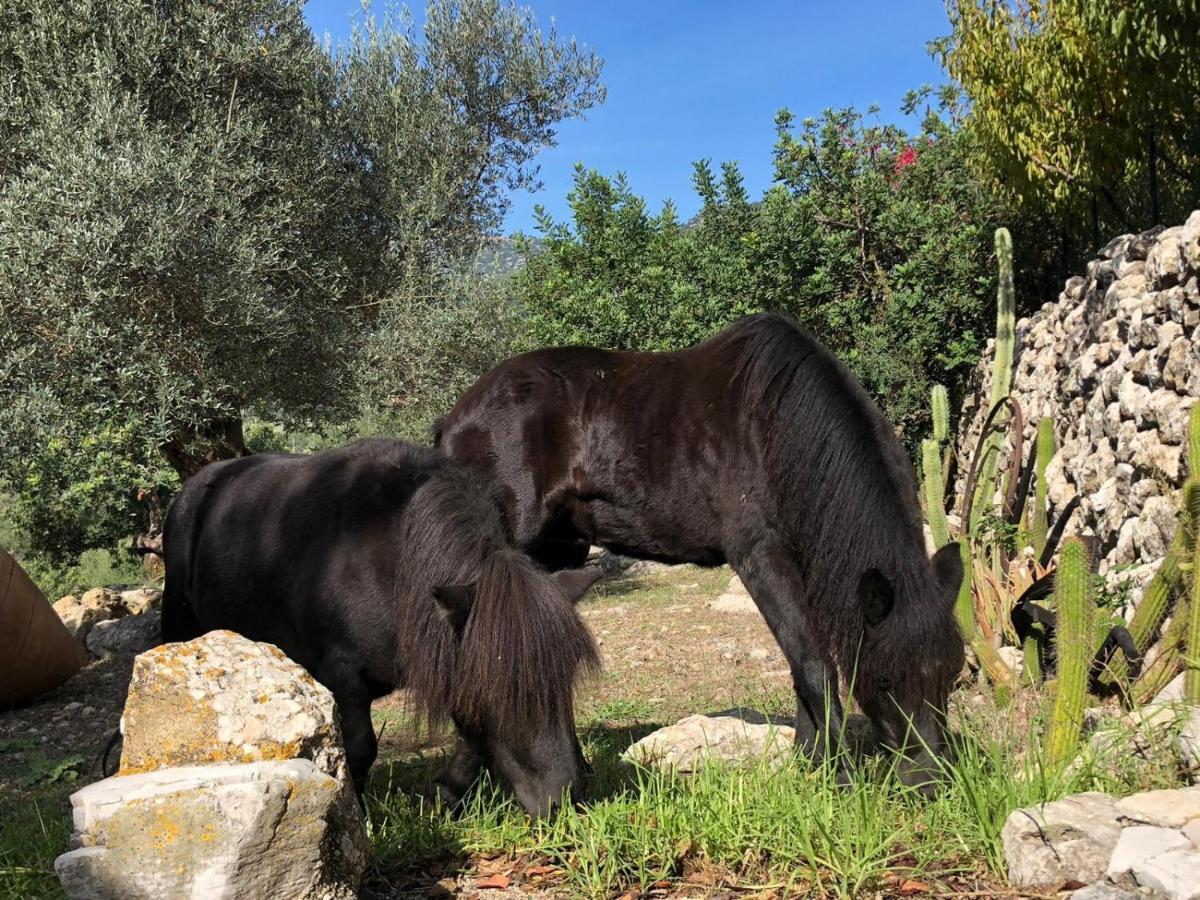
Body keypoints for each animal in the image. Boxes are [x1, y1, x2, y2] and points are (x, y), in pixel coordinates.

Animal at [160, 441, 604, 820]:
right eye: (500, 686)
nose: (565, 797)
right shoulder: (344, 678)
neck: (389, 560)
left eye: (565, 678)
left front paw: (444, 795)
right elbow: (359, 749)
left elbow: (472, 740)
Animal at [439, 312, 964, 787]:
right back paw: (459, 786)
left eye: (953, 675)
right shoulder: (758, 556)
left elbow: (803, 663)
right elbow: (815, 664)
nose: (932, 781)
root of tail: (456, 417)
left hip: (556, 555)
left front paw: (810, 761)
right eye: (886, 681)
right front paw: (839, 777)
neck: (777, 425)